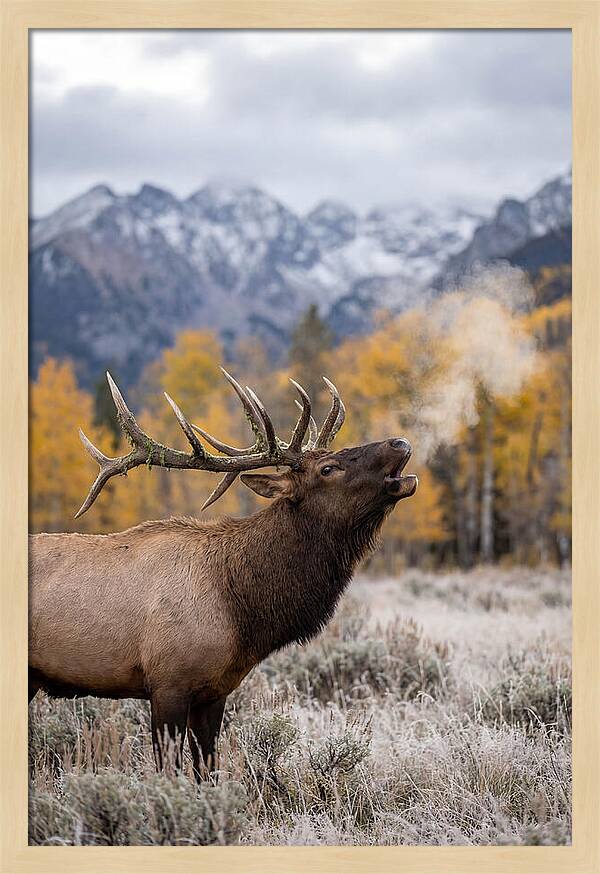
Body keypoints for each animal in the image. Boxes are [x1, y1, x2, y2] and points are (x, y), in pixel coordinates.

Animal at [29, 367, 417, 780]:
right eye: (327, 468)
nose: (399, 442)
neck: (240, 610)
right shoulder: (167, 682)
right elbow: (169, 771)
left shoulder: (215, 691)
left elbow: (209, 770)